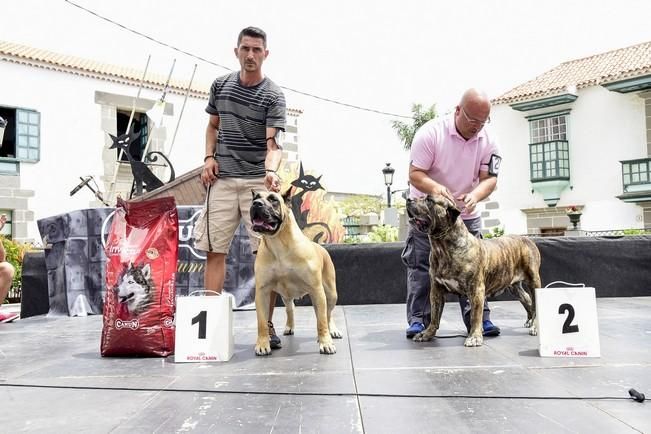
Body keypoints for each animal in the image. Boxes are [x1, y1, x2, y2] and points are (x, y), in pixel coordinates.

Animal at [250, 191, 344, 356]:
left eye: (273, 200)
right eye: (255, 198)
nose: (256, 204)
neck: (278, 242)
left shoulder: (316, 290)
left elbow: (322, 320)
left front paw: (326, 342)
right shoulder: (262, 292)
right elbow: (262, 322)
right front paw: (262, 344)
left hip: (330, 293)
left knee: (327, 313)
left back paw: (332, 330)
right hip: (286, 295)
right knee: (291, 308)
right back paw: (289, 327)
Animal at [408, 195, 540, 348]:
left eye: (429, 200)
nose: (409, 199)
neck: (442, 248)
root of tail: (527, 238)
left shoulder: (476, 289)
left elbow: (475, 315)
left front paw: (474, 337)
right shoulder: (436, 290)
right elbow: (435, 315)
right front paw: (427, 334)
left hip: (534, 281)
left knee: (535, 302)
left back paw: (535, 326)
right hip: (514, 287)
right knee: (527, 299)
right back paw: (530, 321)